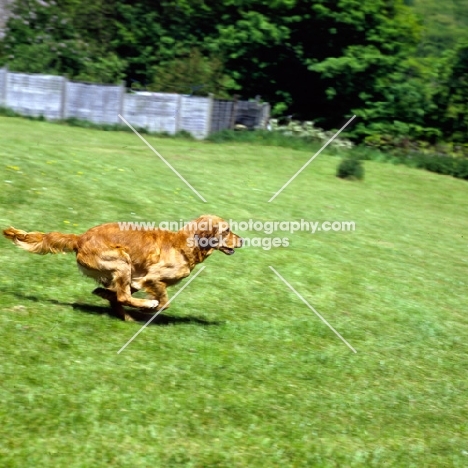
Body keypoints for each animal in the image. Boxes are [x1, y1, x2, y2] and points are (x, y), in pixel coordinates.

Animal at [3, 217, 243, 322]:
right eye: (227, 230)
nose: (241, 240)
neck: (184, 244)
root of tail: (80, 238)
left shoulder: (138, 280)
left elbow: (116, 295)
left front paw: (104, 295)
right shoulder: (152, 278)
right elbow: (164, 302)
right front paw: (150, 308)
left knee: (119, 296)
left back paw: (122, 311)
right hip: (121, 261)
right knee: (123, 296)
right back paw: (141, 307)